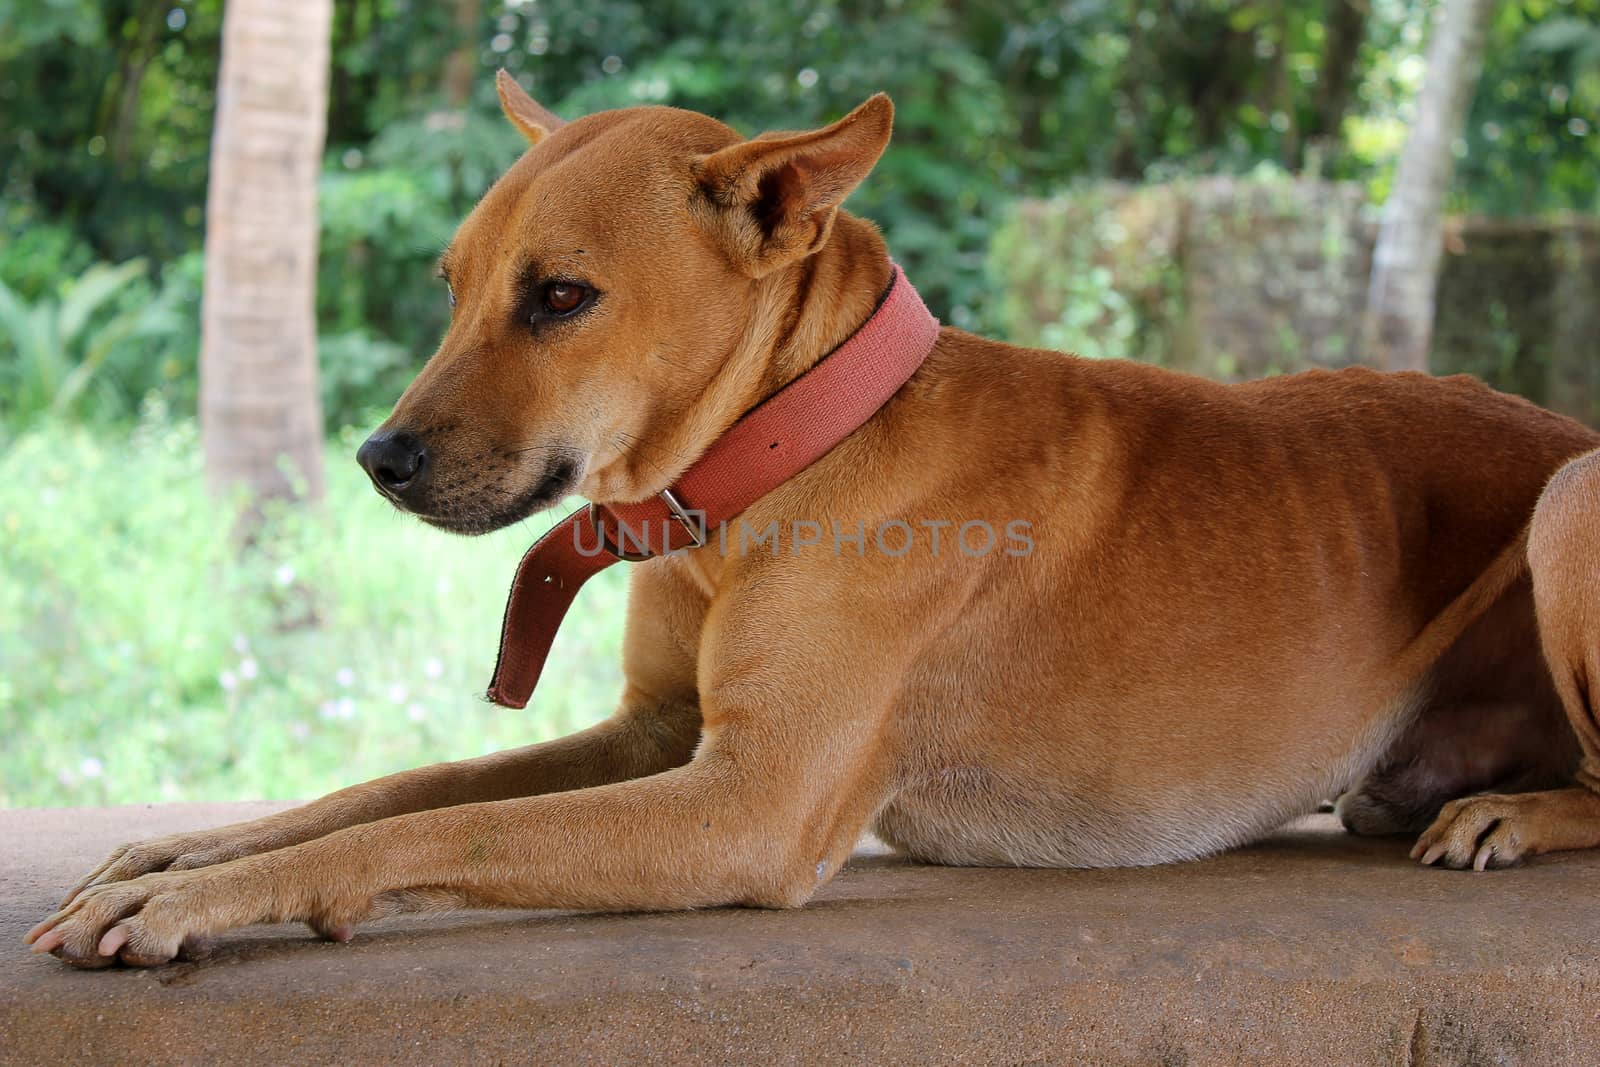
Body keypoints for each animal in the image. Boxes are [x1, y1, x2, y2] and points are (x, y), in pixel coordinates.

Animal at [25, 77, 1600, 966]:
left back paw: (1511, 812)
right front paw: (183, 855)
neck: (769, 465)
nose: (375, 457)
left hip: (1569, 503)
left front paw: (204, 900)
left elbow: (426, 832)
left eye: (561, 296)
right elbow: (393, 792)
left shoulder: (743, 805)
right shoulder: (655, 734)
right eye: (452, 281)